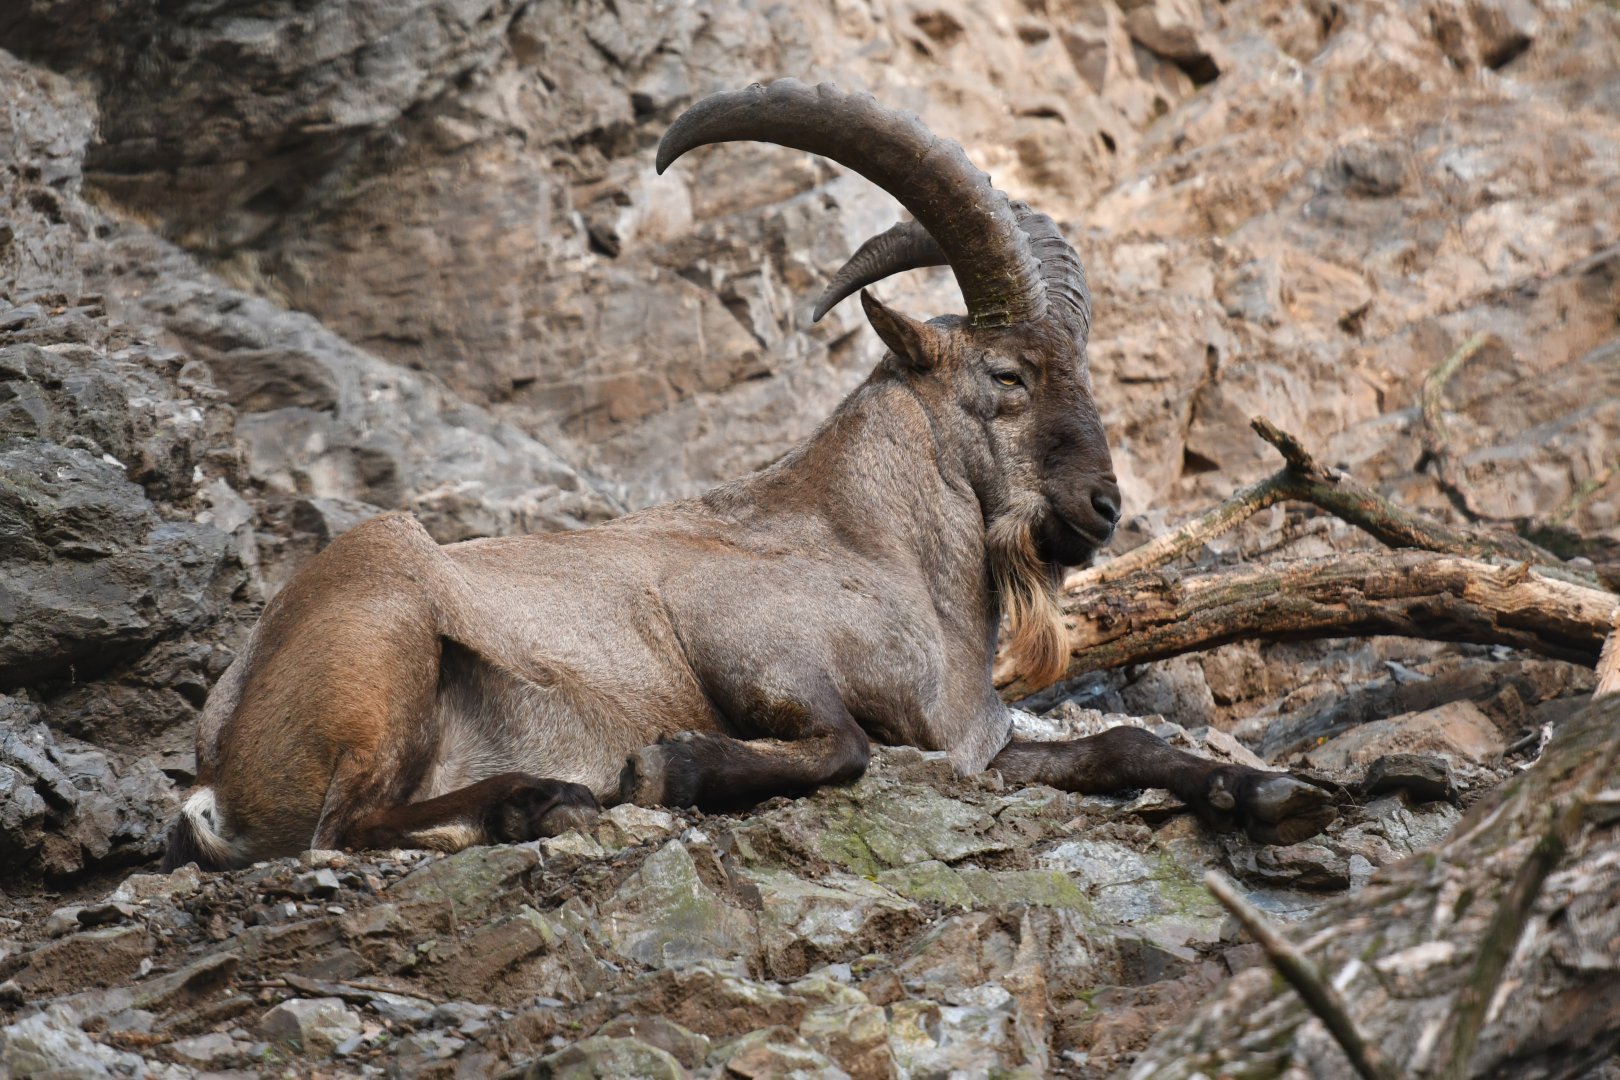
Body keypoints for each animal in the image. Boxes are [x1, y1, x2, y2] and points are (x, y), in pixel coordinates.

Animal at [163, 80, 1333, 873]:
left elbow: (1129, 741)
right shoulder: (745, 643)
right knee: (341, 825)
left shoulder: (975, 747)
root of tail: (216, 774)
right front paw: (662, 766)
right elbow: (845, 746)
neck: (873, 550)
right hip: (391, 621)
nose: (1102, 508)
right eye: (1007, 375)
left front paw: (1274, 792)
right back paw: (543, 800)